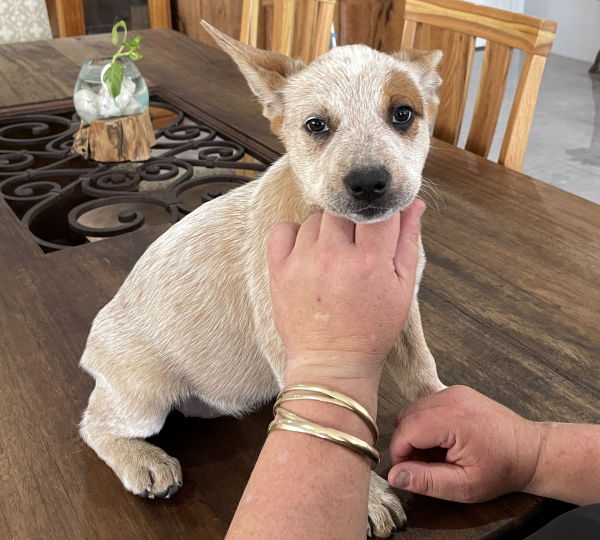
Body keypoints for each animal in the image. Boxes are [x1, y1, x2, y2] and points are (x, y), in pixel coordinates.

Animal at [78, 21, 446, 536]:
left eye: (403, 114)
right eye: (316, 125)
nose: (369, 182)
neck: (356, 236)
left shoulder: (404, 307)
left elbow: (422, 372)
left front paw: (448, 413)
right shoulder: (291, 338)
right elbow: (325, 412)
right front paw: (370, 496)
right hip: (144, 395)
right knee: (93, 425)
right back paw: (143, 461)